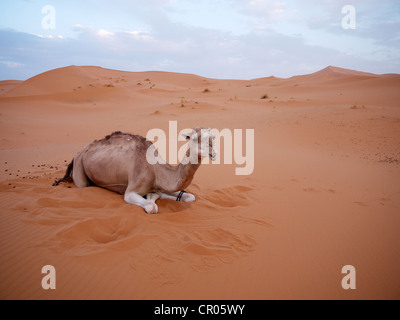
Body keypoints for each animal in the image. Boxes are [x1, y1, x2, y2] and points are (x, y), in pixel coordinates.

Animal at [54, 126, 216, 214]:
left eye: (213, 138)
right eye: (194, 138)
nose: (213, 153)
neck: (156, 170)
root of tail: (78, 153)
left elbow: (189, 196)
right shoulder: (130, 191)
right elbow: (152, 206)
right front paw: (151, 198)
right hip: (80, 169)